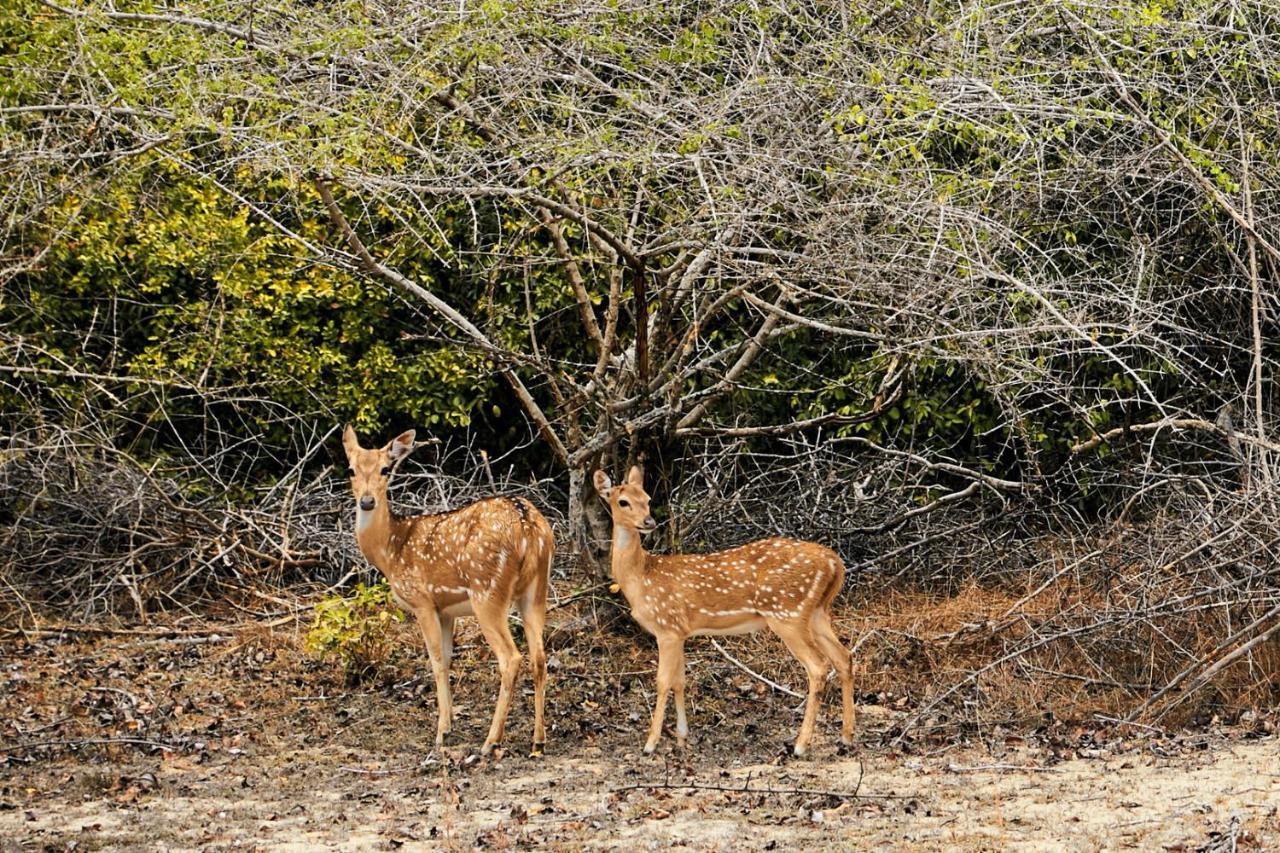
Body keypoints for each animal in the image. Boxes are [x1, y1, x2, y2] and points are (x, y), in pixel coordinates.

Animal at [343, 422, 552, 753]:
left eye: (386, 469)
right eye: (351, 469)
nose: (366, 501)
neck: (391, 551)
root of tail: (529, 527)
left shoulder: (422, 600)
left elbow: (437, 660)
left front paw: (442, 732)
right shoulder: (446, 610)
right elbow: (449, 657)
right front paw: (451, 722)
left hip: (487, 592)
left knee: (511, 658)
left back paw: (490, 741)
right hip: (536, 590)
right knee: (540, 658)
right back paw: (538, 739)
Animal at [593, 461, 855, 753]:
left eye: (648, 499)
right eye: (623, 501)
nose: (649, 522)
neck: (640, 578)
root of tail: (834, 563)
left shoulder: (666, 627)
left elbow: (662, 681)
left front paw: (651, 743)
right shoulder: (680, 631)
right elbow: (680, 681)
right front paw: (682, 737)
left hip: (787, 612)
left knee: (818, 667)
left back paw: (801, 744)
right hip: (817, 612)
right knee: (844, 657)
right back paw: (846, 735)